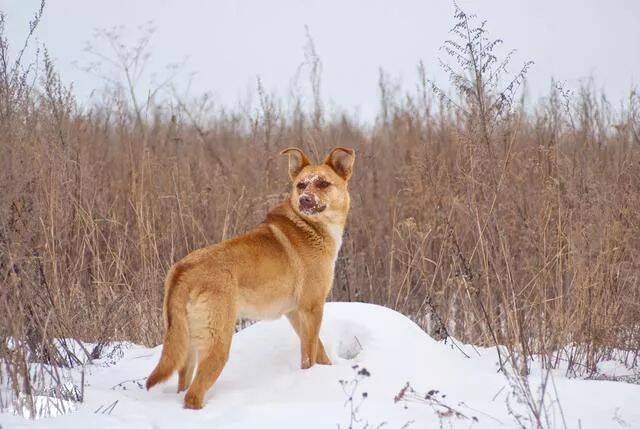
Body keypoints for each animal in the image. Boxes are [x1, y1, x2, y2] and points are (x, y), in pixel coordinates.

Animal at [145, 146, 356, 408]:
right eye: (301, 185)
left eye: (323, 183)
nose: (304, 200)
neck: (310, 226)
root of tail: (183, 270)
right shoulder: (312, 308)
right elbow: (309, 354)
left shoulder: (295, 312)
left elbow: (319, 349)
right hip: (218, 343)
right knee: (194, 394)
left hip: (186, 345)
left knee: (183, 384)